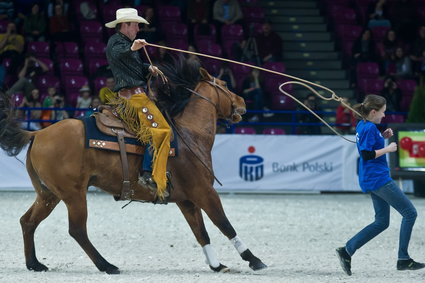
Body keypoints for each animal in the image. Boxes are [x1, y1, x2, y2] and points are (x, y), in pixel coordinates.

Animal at [0, 57, 264, 276]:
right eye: (224, 84)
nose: (242, 102)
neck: (190, 135)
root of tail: (38, 133)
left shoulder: (186, 200)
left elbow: (201, 232)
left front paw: (216, 265)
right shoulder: (204, 192)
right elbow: (224, 224)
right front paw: (253, 259)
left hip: (49, 194)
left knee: (28, 221)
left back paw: (34, 264)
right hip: (73, 194)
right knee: (77, 230)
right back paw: (107, 265)